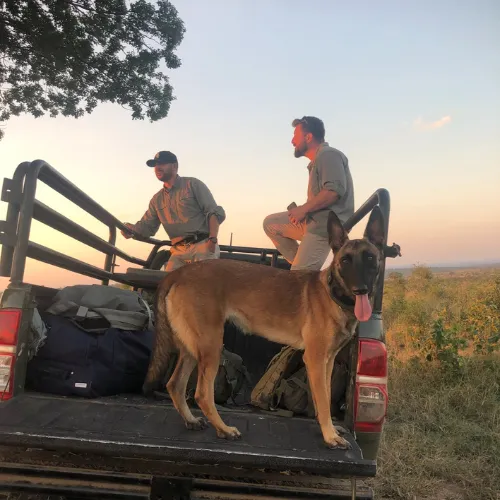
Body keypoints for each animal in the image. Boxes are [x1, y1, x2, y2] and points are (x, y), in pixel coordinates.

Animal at [143, 207, 384, 450]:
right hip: (210, 345)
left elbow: (324, 395)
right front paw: (330, 436)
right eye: (345, 260)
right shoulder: (315, 359)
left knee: (175, 384)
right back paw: (224, 429)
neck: (333, 294)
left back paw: (191, 420)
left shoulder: (328, 360)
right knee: (201, 394)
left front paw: (331, 430)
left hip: (193, 348)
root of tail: (179, 273)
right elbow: (324, 402)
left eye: (370, 258)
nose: (360, 289)